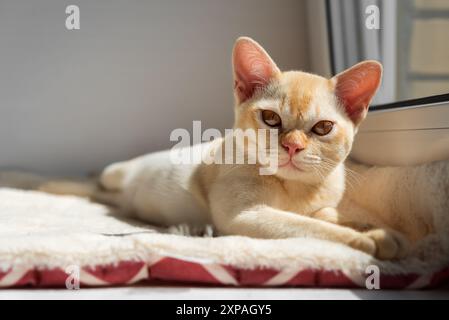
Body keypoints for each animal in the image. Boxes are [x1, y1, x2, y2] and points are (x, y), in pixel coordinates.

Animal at [42, 37, 410, 260]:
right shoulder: (245, 216)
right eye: (271, 118)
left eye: (322, 128)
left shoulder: (321, 207)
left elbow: (332, 217)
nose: (292, 146)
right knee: (101, 177)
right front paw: (365, 241)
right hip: (115, 172)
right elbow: (314, 228)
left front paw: (380, 232)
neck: (294, 191)